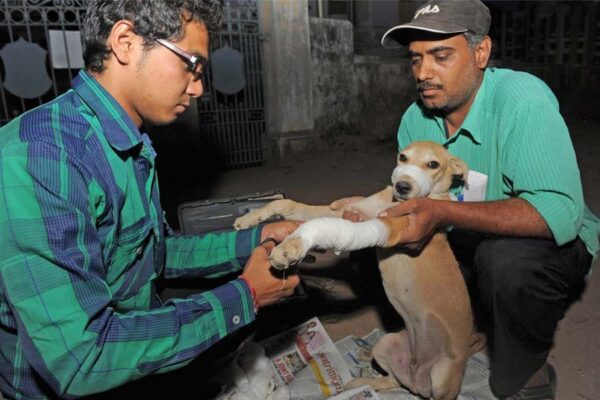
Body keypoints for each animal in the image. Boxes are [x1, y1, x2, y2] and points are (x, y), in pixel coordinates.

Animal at [234, 141, 488, 400]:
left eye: (433, 164)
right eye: (403, 157)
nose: (402, 186)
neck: (393, 202)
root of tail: (417, 375)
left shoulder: (390, 227)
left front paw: (291, 246)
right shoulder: (349, 211)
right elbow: (288, 205)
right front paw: (251, 218)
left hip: (441, 377)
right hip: (386, 344)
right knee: (396, 381)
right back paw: (362, 380)